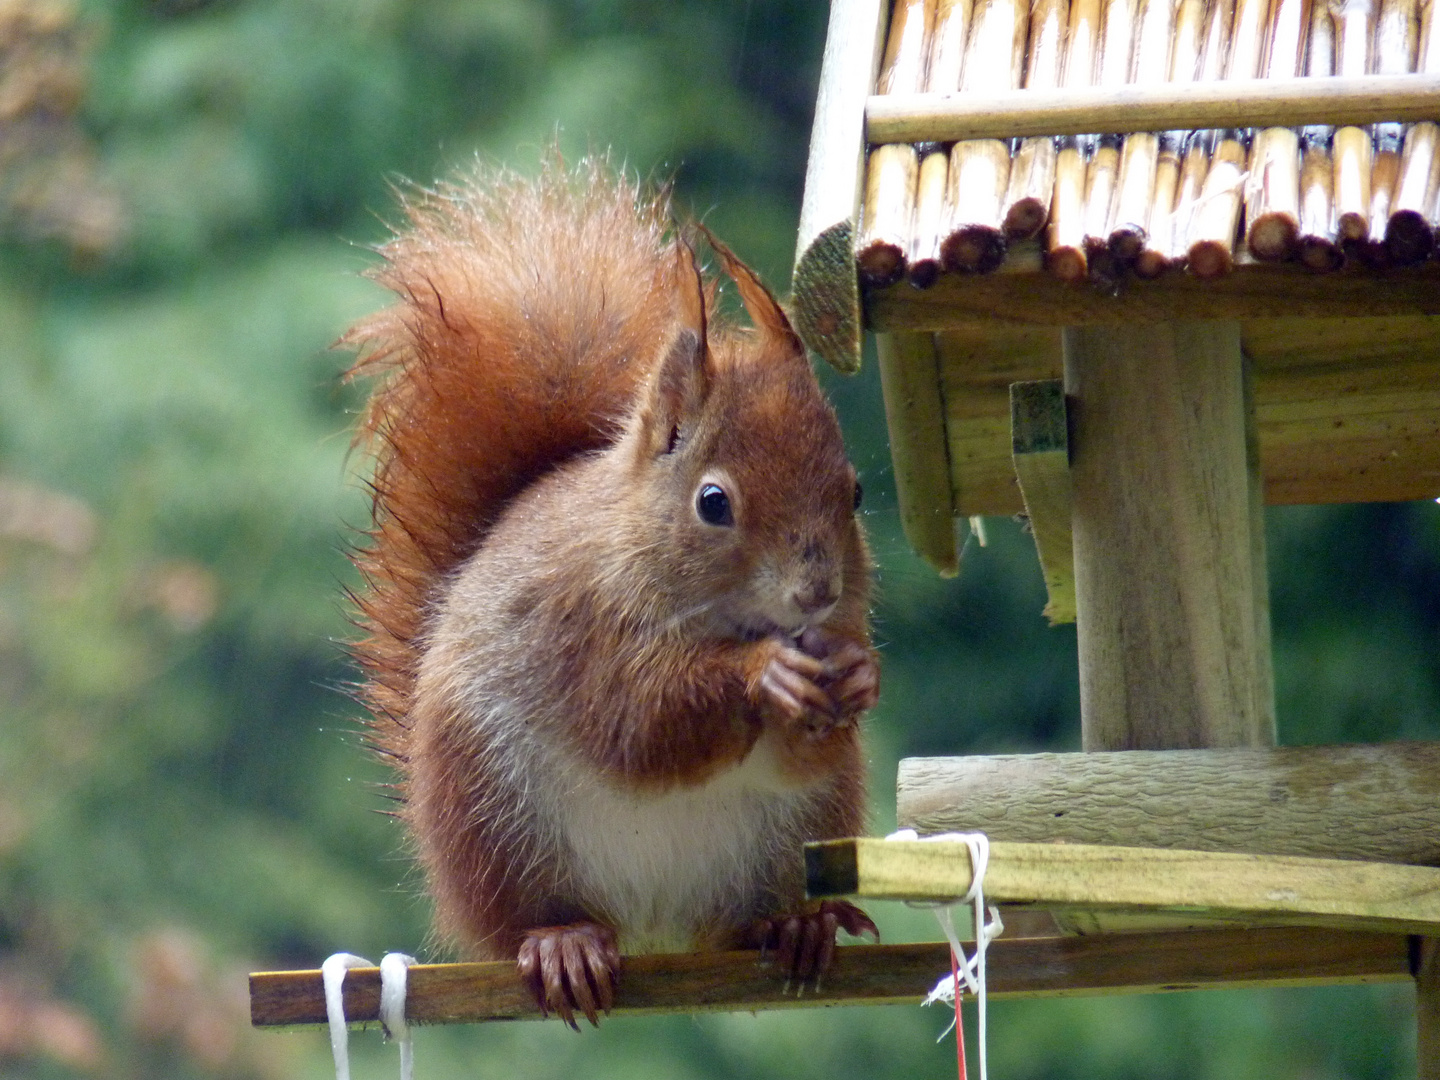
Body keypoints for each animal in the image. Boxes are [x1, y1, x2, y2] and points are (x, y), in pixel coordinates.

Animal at [342, 156, 875, 1025]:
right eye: (713, 502)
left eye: (855, 491)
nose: (818, 593)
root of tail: (653, 920)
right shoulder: (580, 625)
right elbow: (639, 723)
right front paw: (765, 675)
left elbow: (800, 751)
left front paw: (858, 675)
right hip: (493, 816)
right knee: (521, 918)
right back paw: (564, 942)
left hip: (798, 832)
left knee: (741, 921)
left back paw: (796, 924)